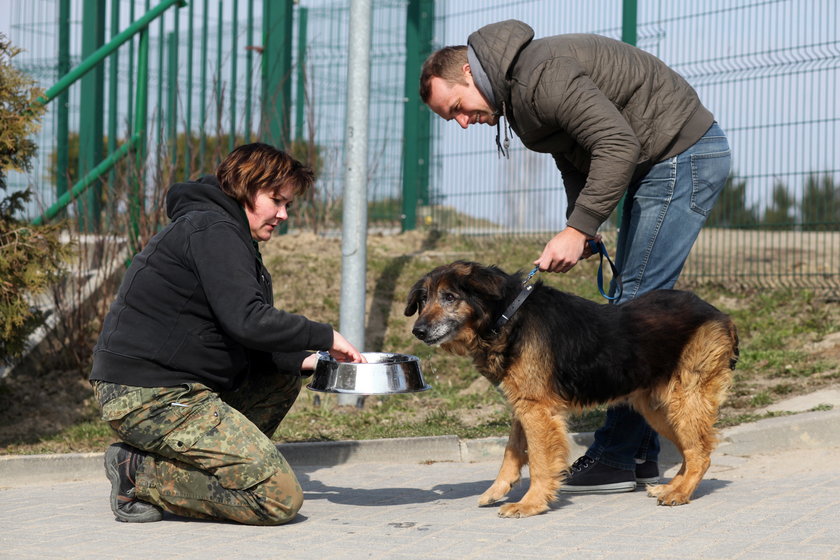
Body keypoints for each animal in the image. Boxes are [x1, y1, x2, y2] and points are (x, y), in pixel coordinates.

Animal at [404, 260, 740, 520]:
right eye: (424, 300)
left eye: (450, 296)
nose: (417, 331)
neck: (508, 315)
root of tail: (719, 314)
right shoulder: (524, 405)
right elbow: (512, 452)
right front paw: (498, 489)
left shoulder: (538, 410)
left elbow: (539, 463)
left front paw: (531, 504)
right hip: (659, 409)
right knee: (692, 450)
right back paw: (673, 486)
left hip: (683, 399)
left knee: (700, 453)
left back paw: (680, 493)